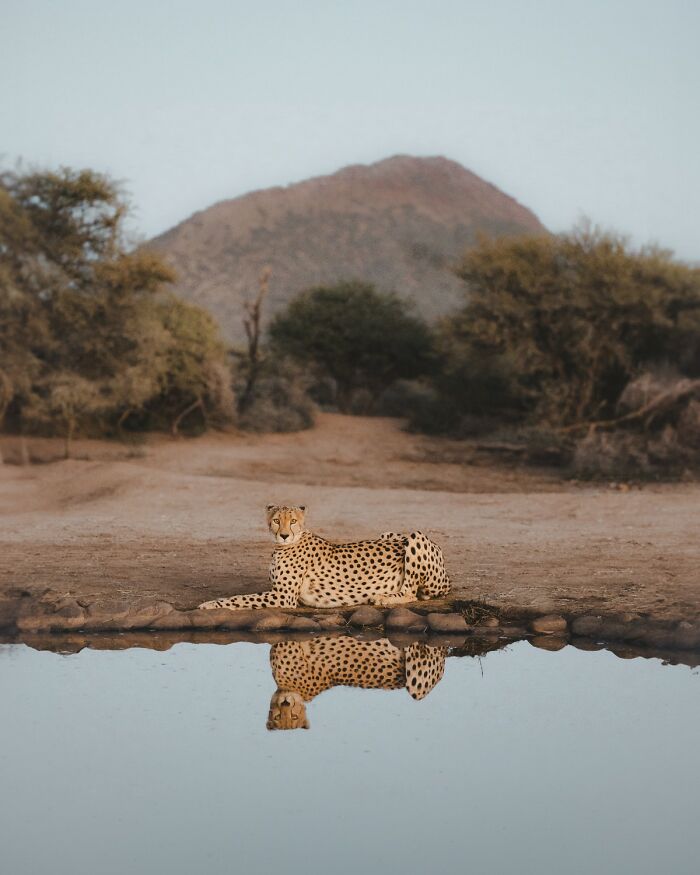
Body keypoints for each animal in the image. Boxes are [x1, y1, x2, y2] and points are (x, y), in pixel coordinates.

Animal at [198, 504, 451, 611]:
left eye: (293, 521)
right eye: (277, 520)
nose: (284, 535)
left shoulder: (283, 597)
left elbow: (240, 599)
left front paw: (210, 604)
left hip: (416, 536)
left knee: (411, 593)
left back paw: (383, 598)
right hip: (389, 534)